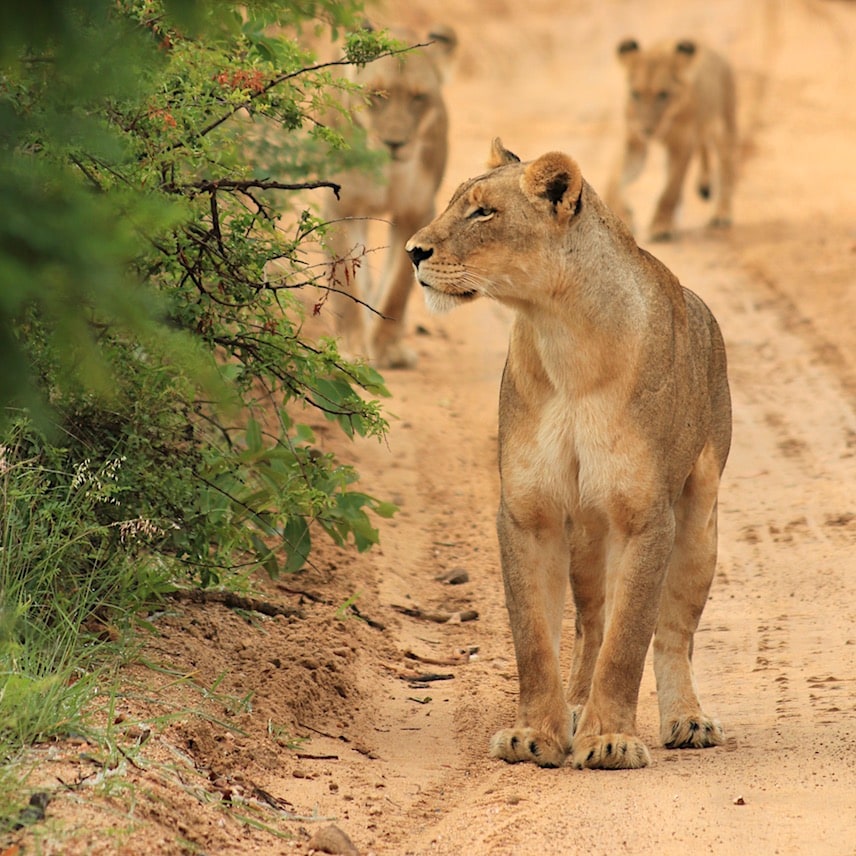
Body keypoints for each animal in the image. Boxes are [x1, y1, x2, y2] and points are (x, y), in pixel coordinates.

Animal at [323, 24, 457, 369]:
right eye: (376, 96)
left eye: (418, 98)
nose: (394, 143)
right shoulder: (341, 210)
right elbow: (346, 287)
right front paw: (351, 349)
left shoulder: (417, 212)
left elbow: (397, 287)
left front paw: (387, 349)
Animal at [405, 139, 732, 770]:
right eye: (455, 202)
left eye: (484, 213)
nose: (412, 251)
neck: (562, 333)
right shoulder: (527, 513)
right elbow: (535, 639)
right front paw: (536, 735)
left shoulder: (645, 517)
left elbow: (631, 640)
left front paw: (609, 741)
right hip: (585, 530)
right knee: (591, 624)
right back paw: (577, 707)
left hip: (700, 519)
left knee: (672, 633)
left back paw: (687, 719)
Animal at [605, 38, 737, 241]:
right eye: (635, 93)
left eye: (663, 94)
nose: (646, 129)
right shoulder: (634, 142)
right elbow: (615, 180)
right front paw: (623, 215)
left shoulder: (682, 144)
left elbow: (670, 191)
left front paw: (661, 226)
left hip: (724, 126)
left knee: (727, 168)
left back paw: (721, 214)